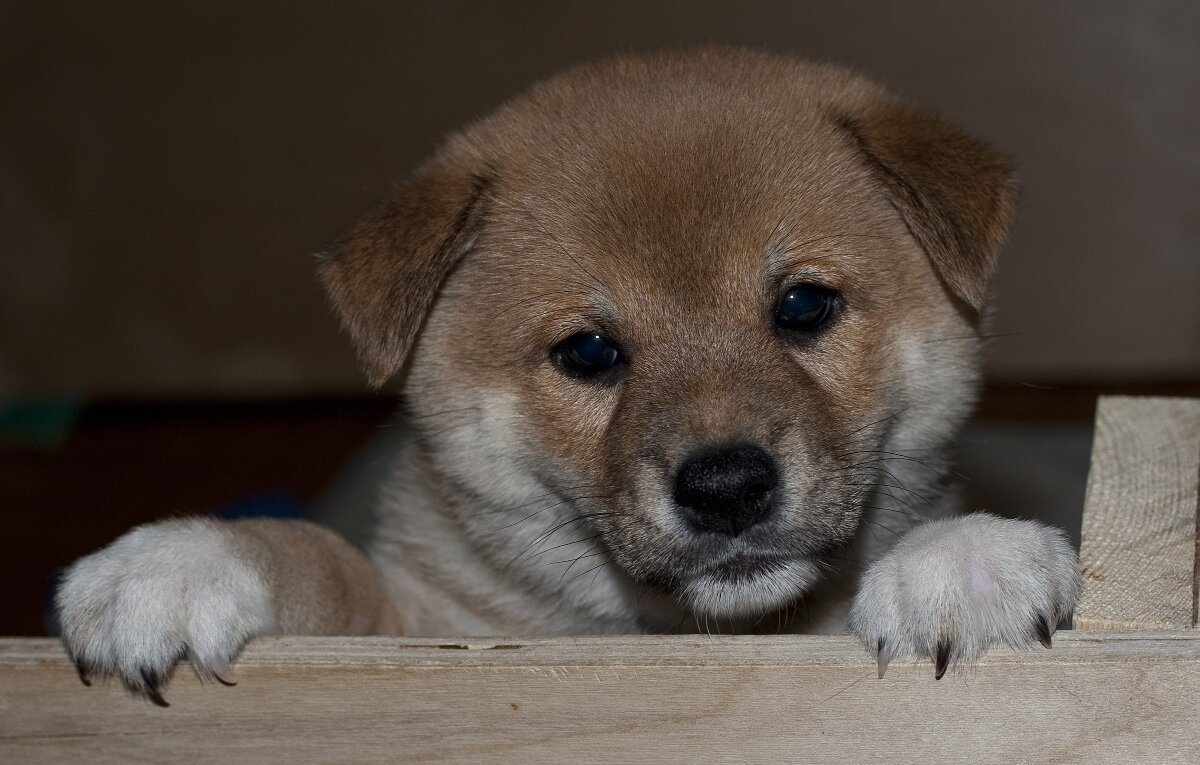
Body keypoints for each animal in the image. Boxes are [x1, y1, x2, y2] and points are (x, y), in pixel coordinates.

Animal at [56, 49, 1084, 709]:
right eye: (589, 353)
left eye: (802, 305)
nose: (726, 486)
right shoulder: (422, 627)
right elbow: (322, 559)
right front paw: (180, 561)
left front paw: (964, 557)